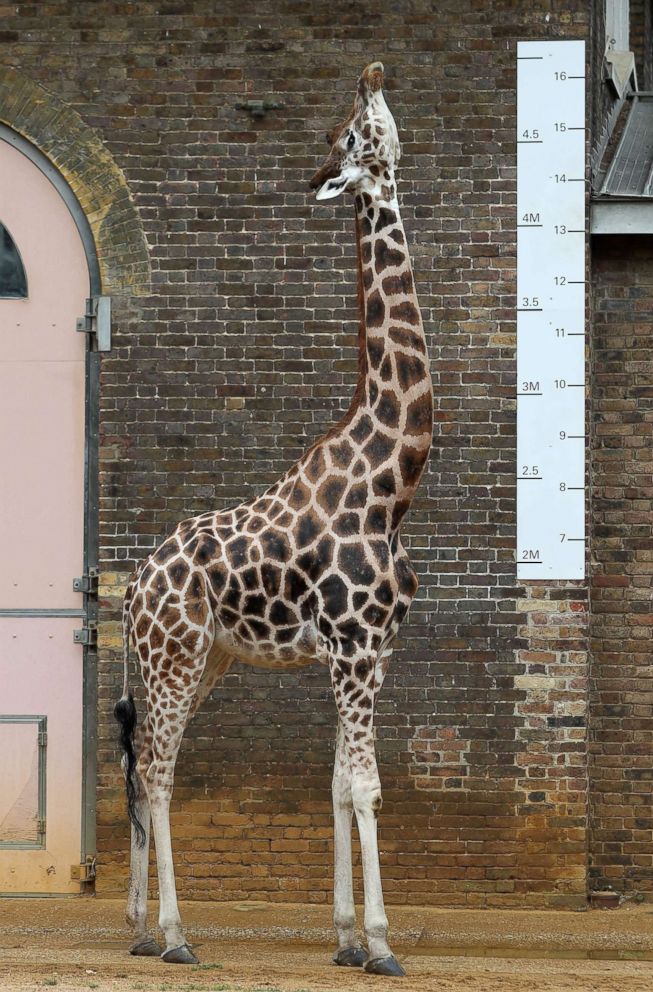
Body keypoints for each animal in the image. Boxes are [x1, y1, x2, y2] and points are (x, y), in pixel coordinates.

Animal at [116, 62, 432, 976]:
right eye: (352, 133)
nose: (371, 72)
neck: (392, 478)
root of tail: (133, 588)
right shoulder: (354, 646)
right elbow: (366, 786)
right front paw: (381, 943)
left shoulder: (373, 650)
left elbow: (336, 785)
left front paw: (345, 939)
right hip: (175, 657)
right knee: (158, 771)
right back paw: (174, 935)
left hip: (204, 659)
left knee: (142, 768)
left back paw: (140, 927)